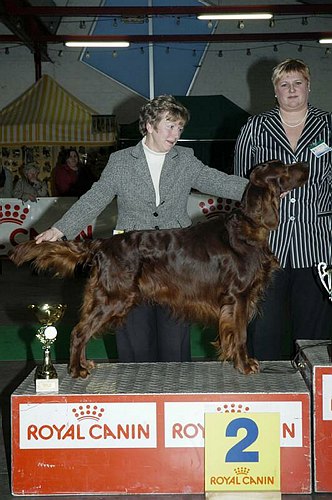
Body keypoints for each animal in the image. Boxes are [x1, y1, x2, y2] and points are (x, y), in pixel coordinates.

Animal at [9, 161, 308, 378]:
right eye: (284, 169)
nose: (305, 164)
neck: (249, 226)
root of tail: (103, 243)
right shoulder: (239, 295)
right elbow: (242, 333)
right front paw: (245, 365)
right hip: (114, 298)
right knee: (78, 332)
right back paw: (76, 369)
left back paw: (84, 364)